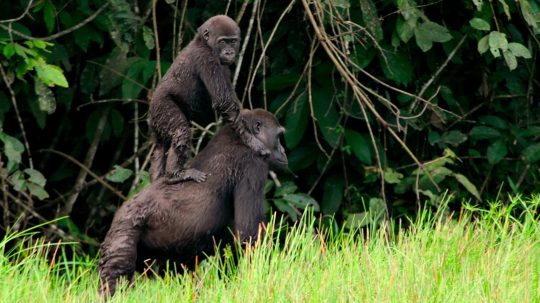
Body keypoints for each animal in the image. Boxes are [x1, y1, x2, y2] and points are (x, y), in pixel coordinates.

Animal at [99, 108, 288, 296]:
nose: (284, 151)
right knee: (116, 274)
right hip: (126, 227)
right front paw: (269, 279)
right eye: (278, 137)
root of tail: (119, 214)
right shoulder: (254, 164)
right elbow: (249, 234)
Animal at [149, 15, 266, 184]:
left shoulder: (223, 66)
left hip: (156, 124)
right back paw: (175, 174)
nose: (229, 52)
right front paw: (251, 141)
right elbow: (225, 103)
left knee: (161, 146)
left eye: (233, 41)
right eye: (223, 41)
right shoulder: (207, 59)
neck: (203, 42)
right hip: (161, 107)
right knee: (180, 130)